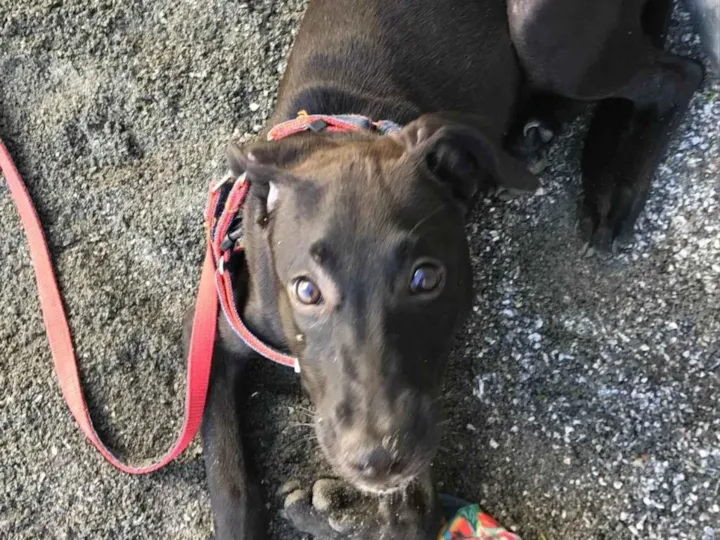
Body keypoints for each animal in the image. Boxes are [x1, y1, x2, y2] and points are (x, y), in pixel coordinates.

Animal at [183, 0, 702, 538]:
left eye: (425, 278)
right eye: (306, 291)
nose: (378, 459)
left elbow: (413, 518)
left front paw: (333, 514)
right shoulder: (214, 342)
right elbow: (230, 483)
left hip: (537, 27)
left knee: (681, 75)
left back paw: (611, 182)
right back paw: (537, 131)